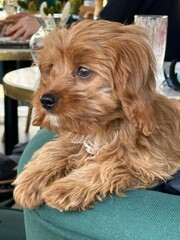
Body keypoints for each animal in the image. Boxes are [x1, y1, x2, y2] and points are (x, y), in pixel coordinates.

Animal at [13, 19, 180, 210]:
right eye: (52, 68)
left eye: (83, 72)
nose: (45, 100)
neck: (103, 130)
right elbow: (59, 148)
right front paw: (32, 178)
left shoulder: (152, 165)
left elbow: (111, 164)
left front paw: (67, 187)